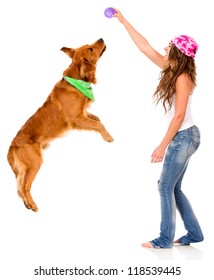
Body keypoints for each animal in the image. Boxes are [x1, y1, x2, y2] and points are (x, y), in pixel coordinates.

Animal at [6, 37, 113, 212]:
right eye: (90, 49)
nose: (101, 38)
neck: (77, 80)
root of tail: (12, 146)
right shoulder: (75, 119)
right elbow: (99, 125)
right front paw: (108, 137)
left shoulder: (83, 114)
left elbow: (97, 119)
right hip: (34, 163)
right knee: (24, 187)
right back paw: (32, 204)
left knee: (19, 187)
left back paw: (27, 203)